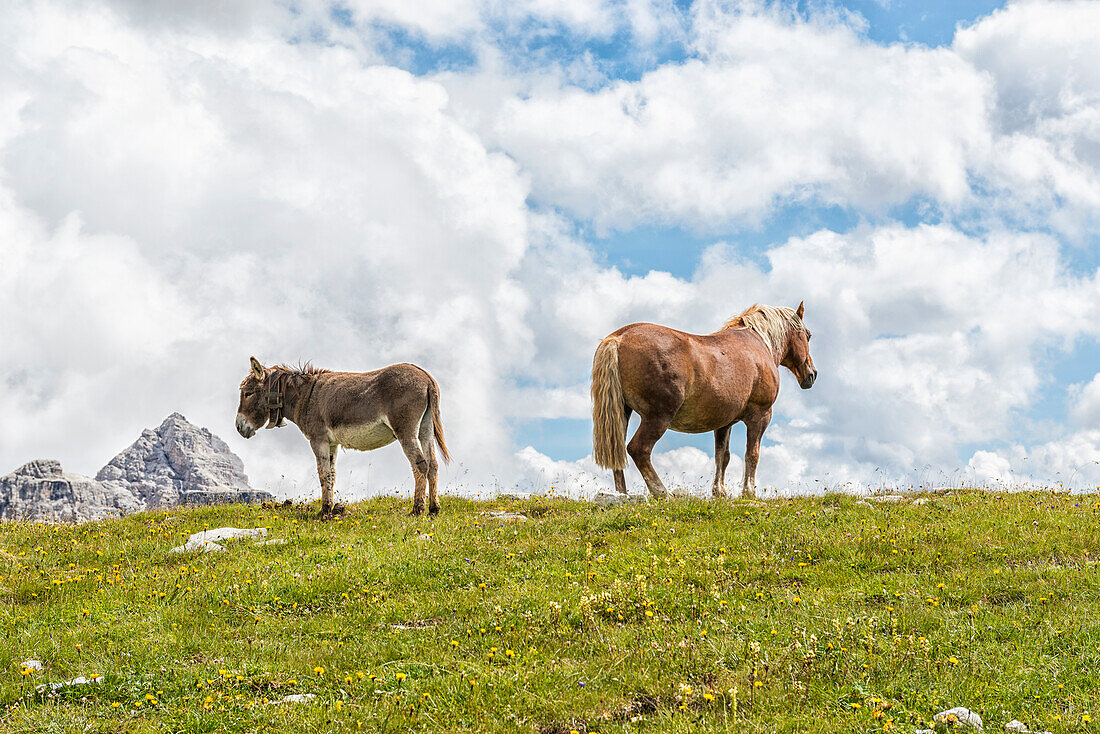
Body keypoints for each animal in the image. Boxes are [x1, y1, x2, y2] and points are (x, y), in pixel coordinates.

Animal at [236, 356, 451, 517]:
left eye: (248, 393)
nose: (239, 427)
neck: (305, 396)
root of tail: (426, 377)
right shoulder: (333, 443)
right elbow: (332, 474)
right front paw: (331, 509)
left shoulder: (318, 439)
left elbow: (323, 474)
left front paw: (324, 512)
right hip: (425, 429)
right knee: (433, 464)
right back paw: (434, 509)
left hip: (405, 430)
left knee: (420, 464)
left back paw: (417, 509)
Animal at [594, 303, 818, 499]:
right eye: (808, 335)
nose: (812, 374)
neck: (757, 343)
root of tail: (618, 338)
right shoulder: (760, 416)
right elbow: (752, 454)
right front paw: (748, 491)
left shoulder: (724, 423)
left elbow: (723, 456)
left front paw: (719, 492)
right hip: (658, 417)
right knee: (638, 449)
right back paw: (663, 493)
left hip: (622, 413)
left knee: (617, 450)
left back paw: (622, 494)